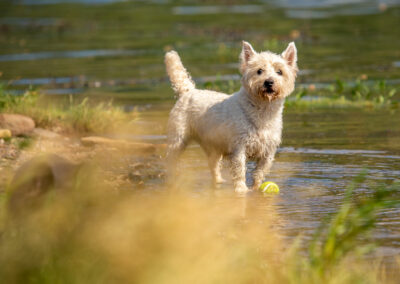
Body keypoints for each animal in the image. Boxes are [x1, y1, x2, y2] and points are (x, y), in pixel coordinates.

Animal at [163, 41, 296, 192]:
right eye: (259, 71)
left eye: (279, 72)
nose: (269, 82)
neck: (262, 112)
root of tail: (188, 91)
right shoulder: (238, 148)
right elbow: (239, 170)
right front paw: (242, 190)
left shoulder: (268, 152)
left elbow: (259, 172)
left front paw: (255, 189)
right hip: (178, 138)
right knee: (171, 161)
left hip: (212, 146)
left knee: (214, 166)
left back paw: (219, 182)